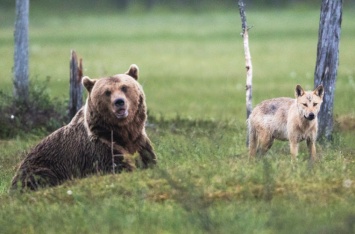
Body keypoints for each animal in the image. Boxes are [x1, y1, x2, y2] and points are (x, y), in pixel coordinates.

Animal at [11, 63, 157, 190]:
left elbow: (149, 160)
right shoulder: (100, 148)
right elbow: (117, 165)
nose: (119, 102)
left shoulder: (140, 141)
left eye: (124, 87)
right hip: (39, 166)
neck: (121, 132)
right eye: (107, 92)